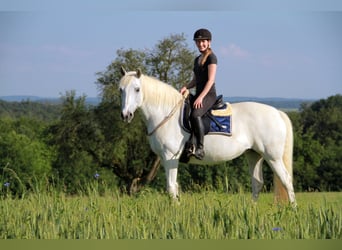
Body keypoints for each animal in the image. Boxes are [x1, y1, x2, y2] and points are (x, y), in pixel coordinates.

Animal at [119, 67, 296, 205]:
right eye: (121, 89)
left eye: (137, 89)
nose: (126, 115)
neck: (165, 113)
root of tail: (277, 112)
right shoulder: (164, 159)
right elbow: (174, 187)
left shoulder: (170, 157)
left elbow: (171, 187)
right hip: (254, 154)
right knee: (257, 183)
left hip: (273, 157)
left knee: (286, 180)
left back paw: (293, 210)